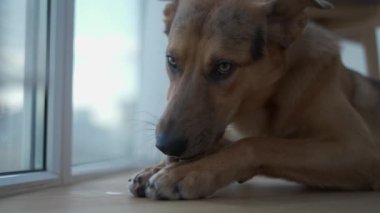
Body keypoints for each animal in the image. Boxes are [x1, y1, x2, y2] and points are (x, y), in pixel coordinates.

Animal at [130, 0, 380, 200]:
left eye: (224, 67)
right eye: (171, 61)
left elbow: (256, 143)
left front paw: (189, 173)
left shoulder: (358, 149)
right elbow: (228, 142)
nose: (165, 145)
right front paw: (159, 167)